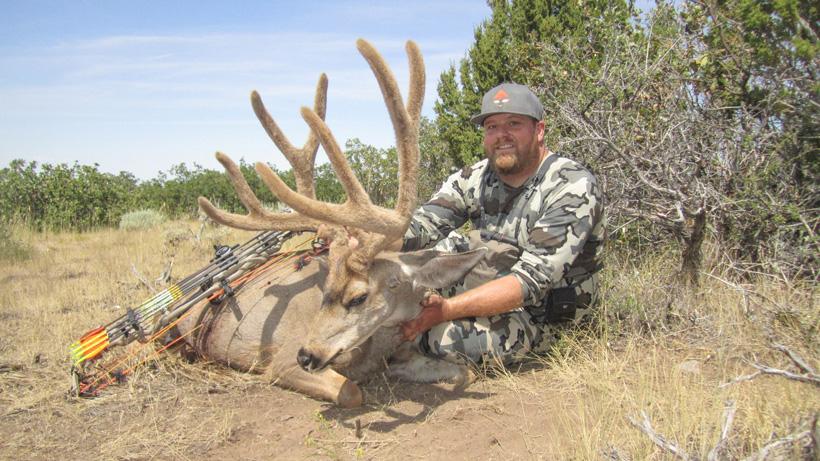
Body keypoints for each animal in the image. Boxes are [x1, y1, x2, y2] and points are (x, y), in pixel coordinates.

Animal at [176, 39, 487, 407]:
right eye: (324, 290)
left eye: (358, 297)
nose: (307, 355)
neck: (375, 349)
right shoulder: (281, 361)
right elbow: (351, 392)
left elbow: (466, 371)